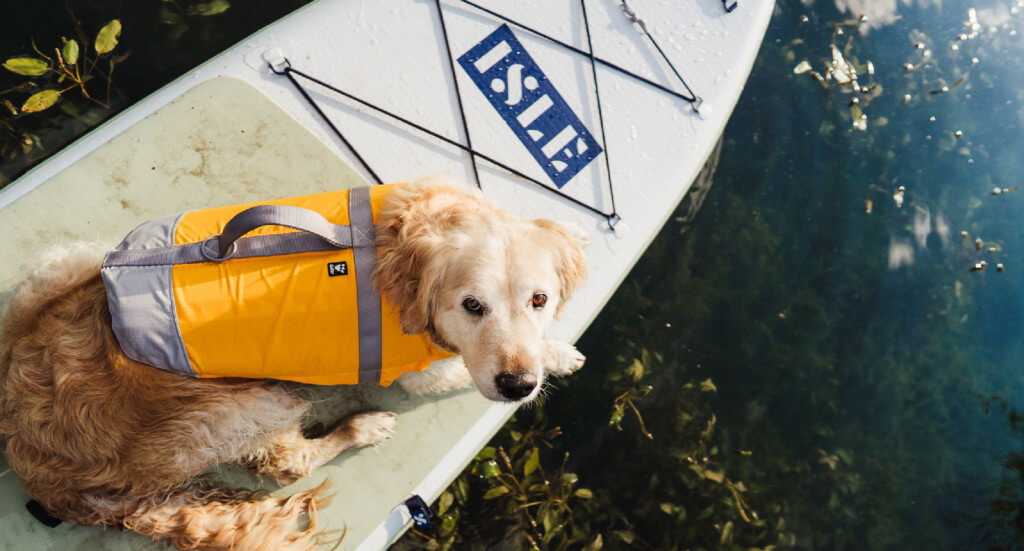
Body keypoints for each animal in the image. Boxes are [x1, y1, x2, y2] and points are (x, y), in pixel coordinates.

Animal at [0, 179, 585, 544]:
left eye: (539, 299)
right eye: (471, 305)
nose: (516, 385)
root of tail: (37, 471)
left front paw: (553, 351)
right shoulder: (426, 371)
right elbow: (457, 372)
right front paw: (554, 357)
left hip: (66, 264)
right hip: (250, 401)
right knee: (290, 463)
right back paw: (363, 428)